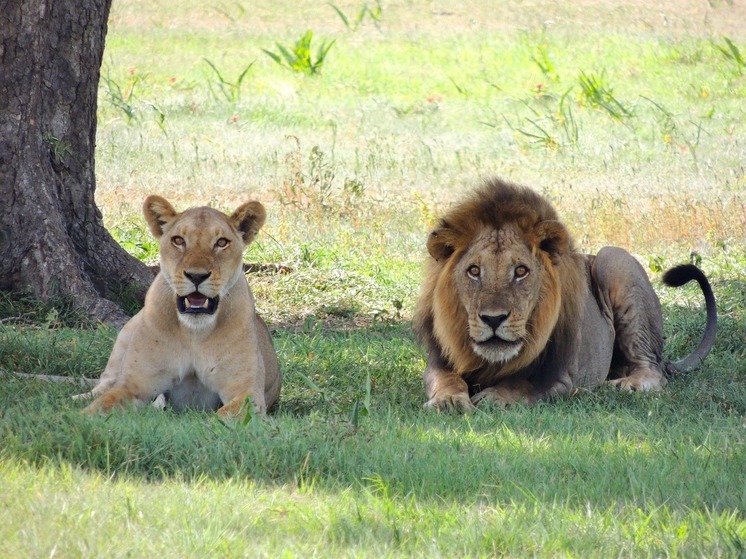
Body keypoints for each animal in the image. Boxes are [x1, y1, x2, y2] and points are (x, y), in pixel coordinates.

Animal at [77, 195, 282, 418]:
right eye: (178, 240)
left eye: (221, 242)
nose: (196, 276)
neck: (194, 333)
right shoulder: (133, 385)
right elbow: (100, 406)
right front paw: (75, 417)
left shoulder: (247, 392)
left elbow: (224, 416)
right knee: (103, 384)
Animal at [412, 179, 716, 412]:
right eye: (474, 271)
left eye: (521, 271)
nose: (493, 319)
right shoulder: (438, 362)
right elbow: (445, 380)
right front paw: (449, 400)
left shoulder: (562, 377)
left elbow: (523, 384)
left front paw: (495, 397)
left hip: (614, 259)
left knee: (653, 370)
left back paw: (624, 385)